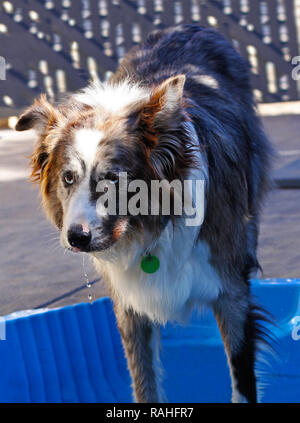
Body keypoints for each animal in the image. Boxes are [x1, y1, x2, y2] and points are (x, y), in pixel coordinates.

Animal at [15, 24, 272, 402]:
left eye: (114, 179)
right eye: (68, 177)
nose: (76, 238)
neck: (152, 231)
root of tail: (187, 25)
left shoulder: (231, 293)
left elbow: (242, 378)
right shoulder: (130, 305)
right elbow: (144, 382)